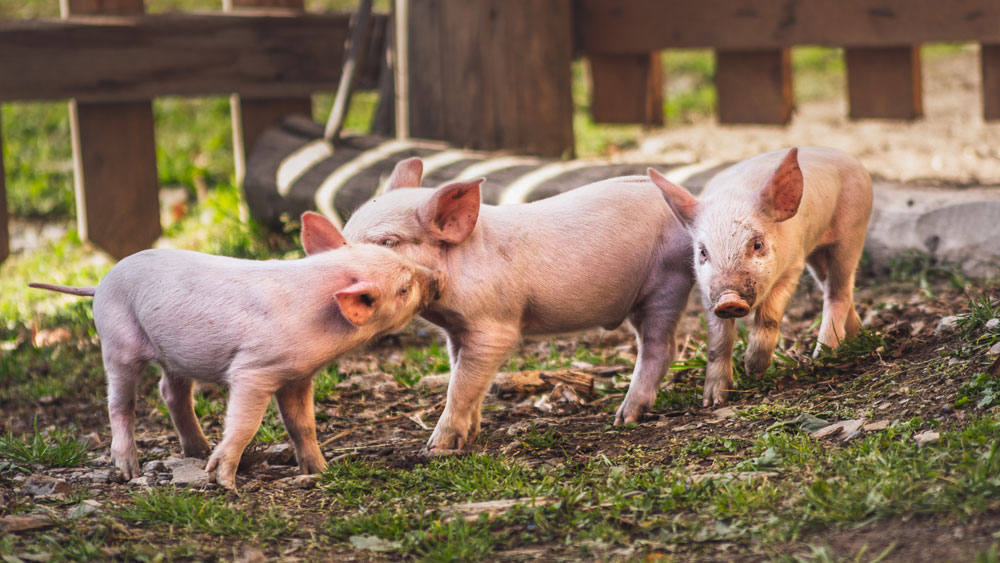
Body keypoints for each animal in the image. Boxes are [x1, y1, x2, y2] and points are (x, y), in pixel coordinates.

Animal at [29, 212, 439, 489]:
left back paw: (197, 450)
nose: (436, 279)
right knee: (120, 402)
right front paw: (224, 482)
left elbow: (303, 424)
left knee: (171, 392)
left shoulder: (298, 376)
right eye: (404, 288)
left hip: (173, 355)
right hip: (117, 341)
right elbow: (245, 423)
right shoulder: (253, 370)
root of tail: (99, 284)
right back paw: (131, 470)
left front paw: (322, 471)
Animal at [342, 157, 695, 452]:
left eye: (389, 242)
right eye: (346, 234)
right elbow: (466, 378)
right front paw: (470, 437)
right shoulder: (457, 331)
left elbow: (461, 385)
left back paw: (624, 418)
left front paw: (435, 449)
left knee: (661, 346)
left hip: (667, 282)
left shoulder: (494, 325)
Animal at [648, 147, 873, 406]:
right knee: (833, 288)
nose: (729, 299)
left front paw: (753, 371)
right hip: (818, 254)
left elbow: (769, 315)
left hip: (852, 231)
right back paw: (858, 336)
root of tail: (847, 157)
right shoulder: (708, 291)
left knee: (839, 291)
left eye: (757, 244)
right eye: (703, 252)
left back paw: (823, 355)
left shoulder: (792, 266)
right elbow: (718, 338)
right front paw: (713, 400)